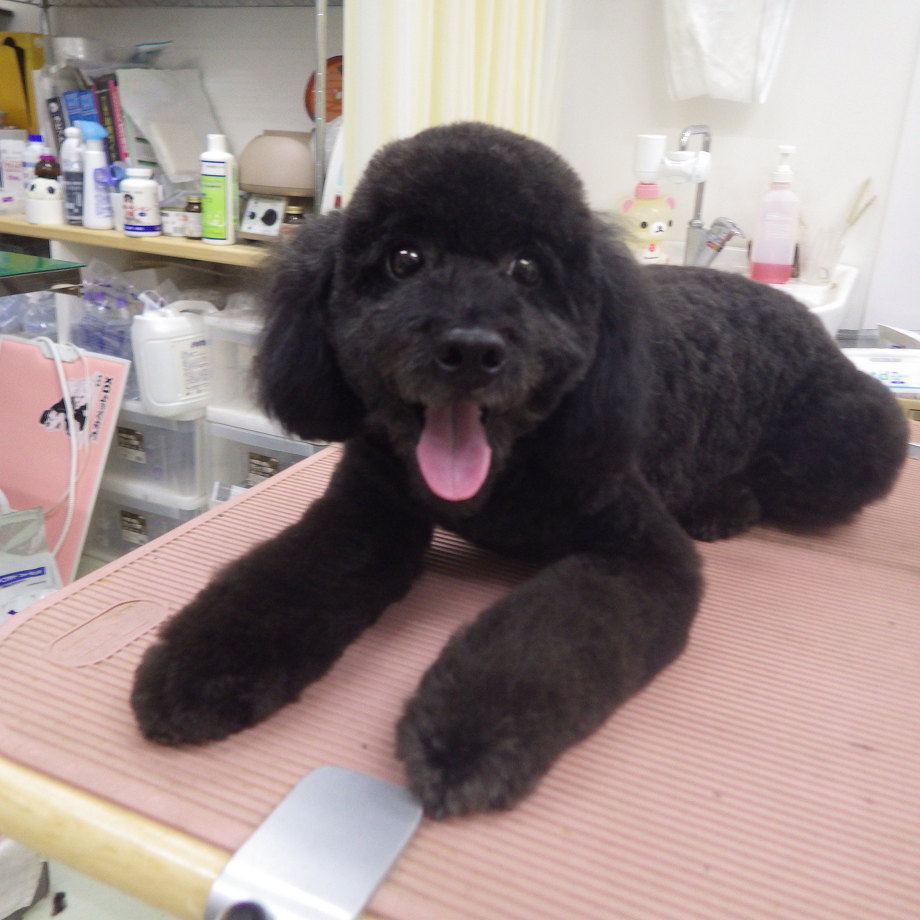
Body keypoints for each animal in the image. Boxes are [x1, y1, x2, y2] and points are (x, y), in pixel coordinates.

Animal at [132, 123, 907, 818]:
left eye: (528, 270)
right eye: (405, 259)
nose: (471, 350)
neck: (499, 477)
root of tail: (795, 307)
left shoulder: (641, 555)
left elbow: (543, 642)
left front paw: (464, 737)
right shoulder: (364, 514)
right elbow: (277, 583)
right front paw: (196, 668)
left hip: (853, 434)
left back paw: (725, 503)